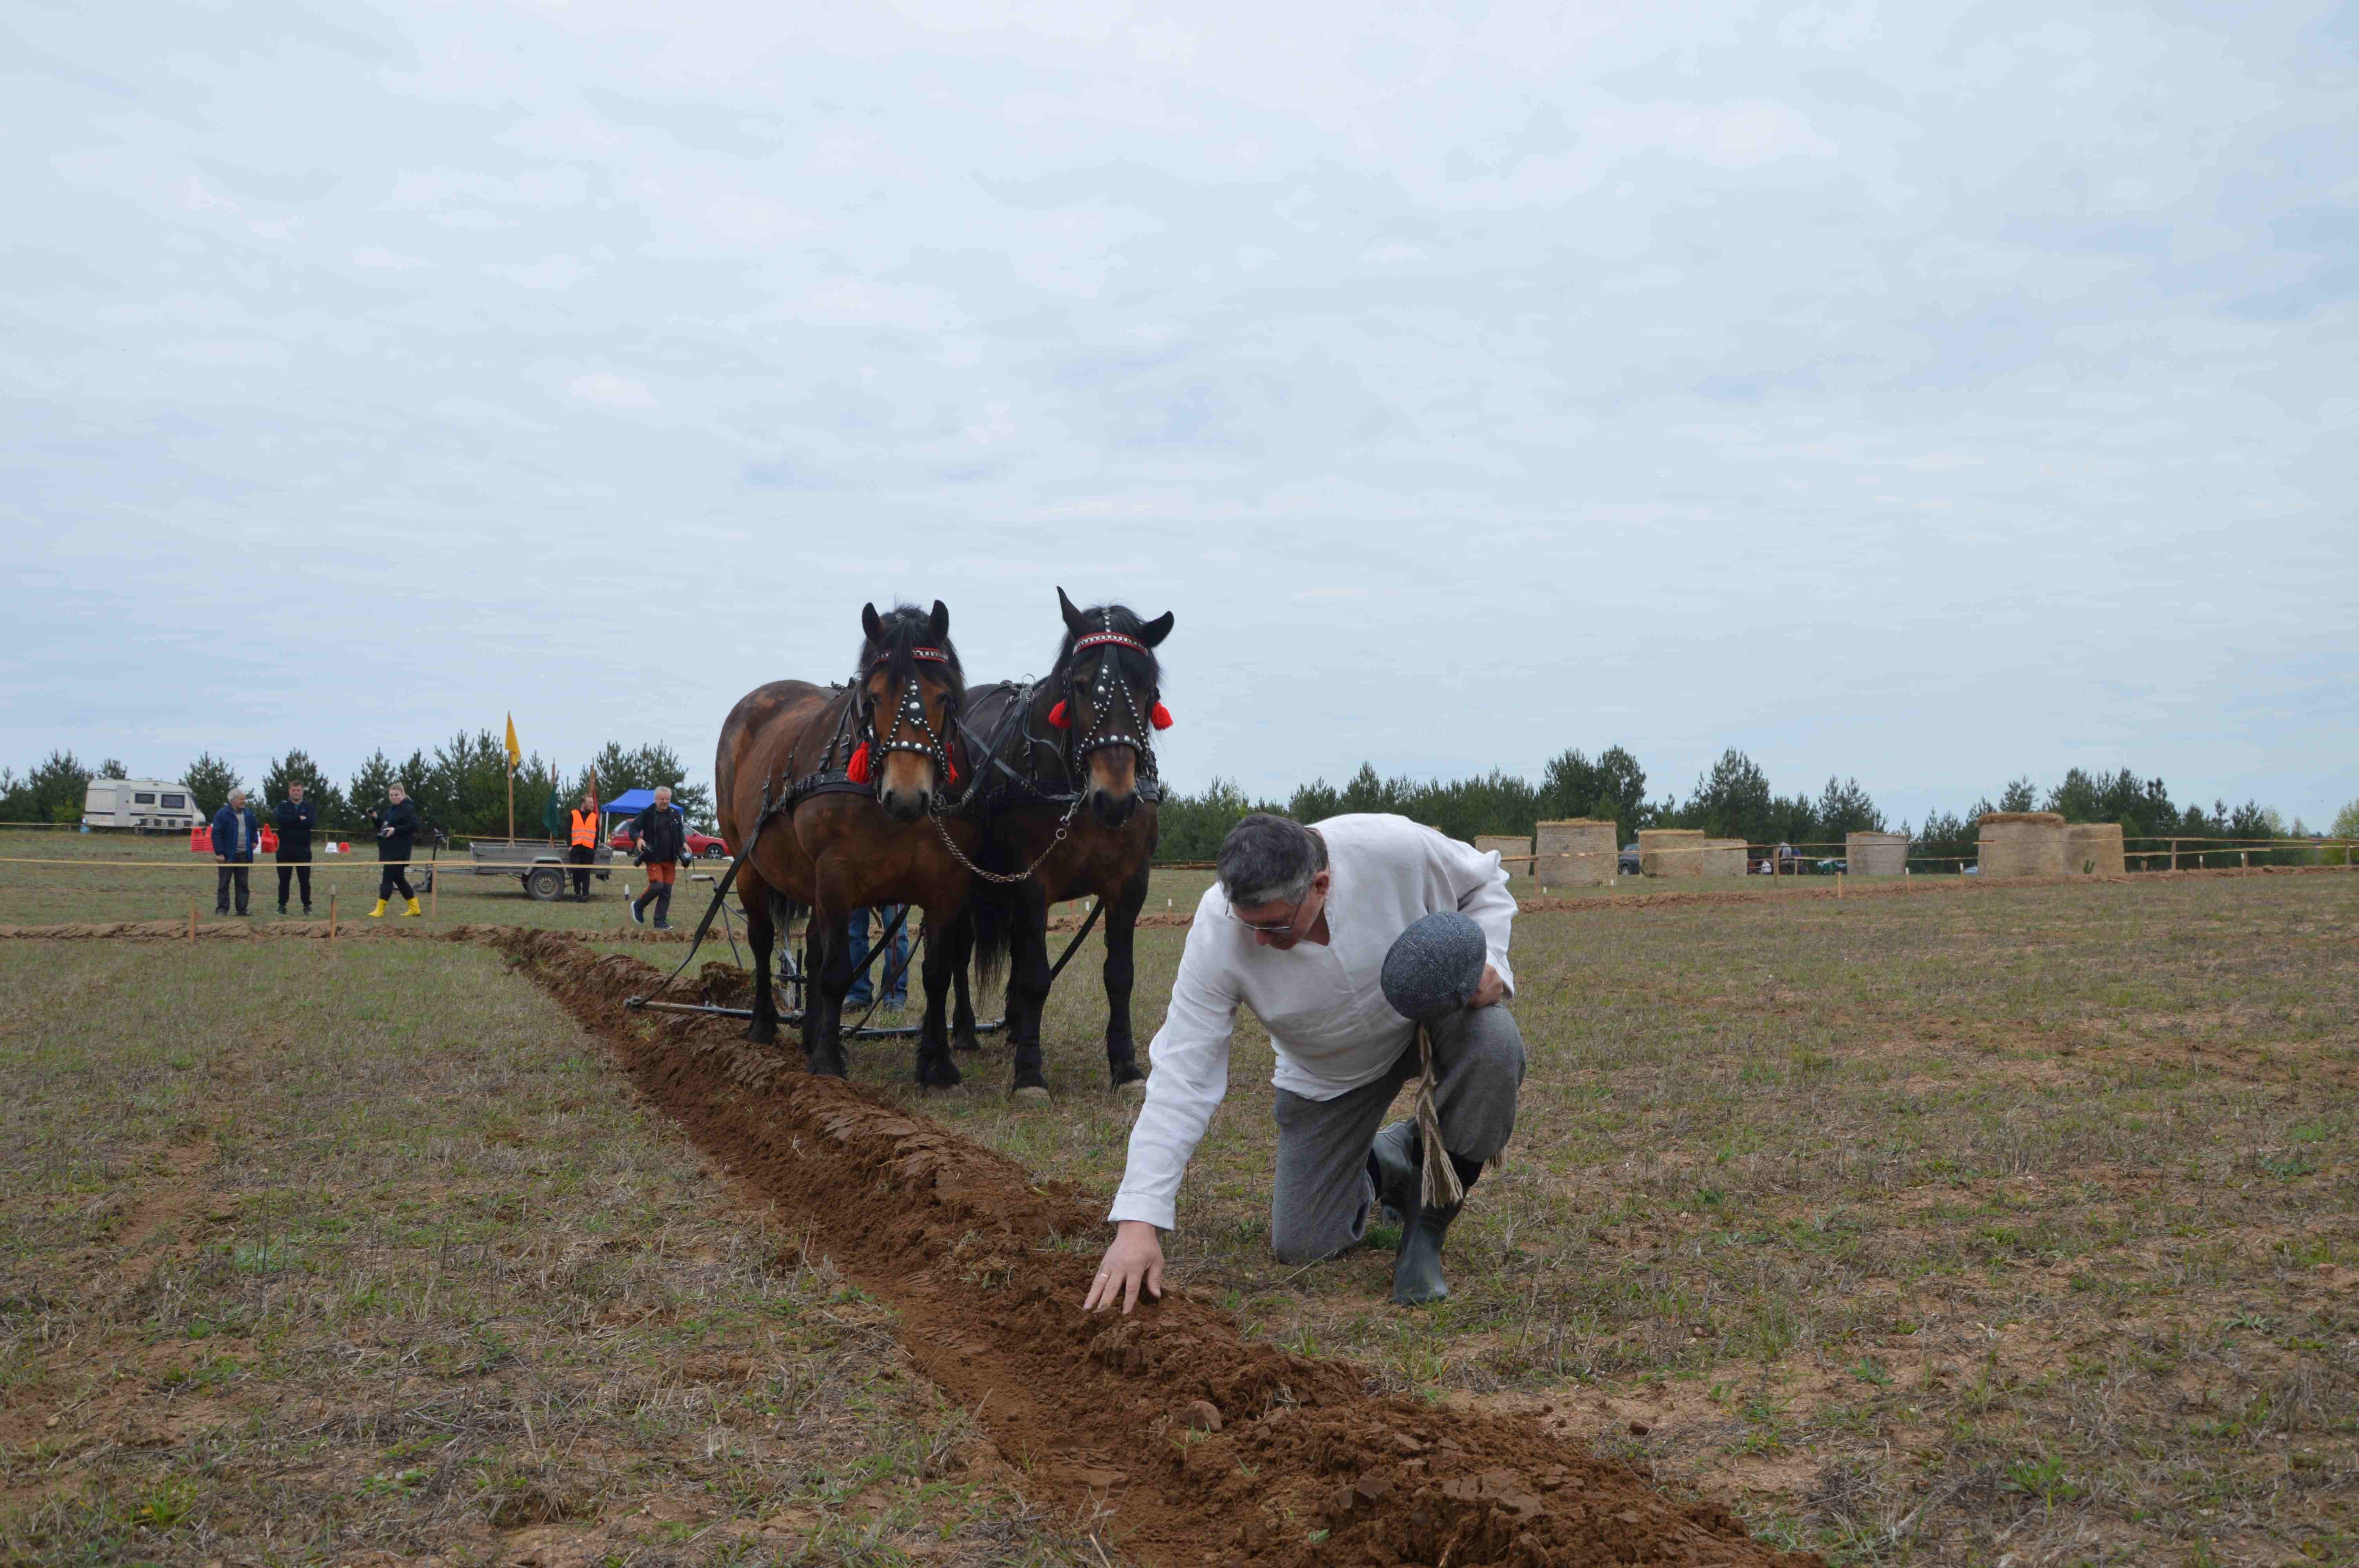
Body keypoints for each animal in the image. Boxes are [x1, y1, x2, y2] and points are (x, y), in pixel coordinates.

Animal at [712, 599, 981, 1089]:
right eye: (873, 698)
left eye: (944, 698)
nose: (907, 797)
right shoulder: (837, 876)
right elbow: (836, 971)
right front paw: (827, 1062)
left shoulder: (947, 885)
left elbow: (936, 974)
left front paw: (937, 1063)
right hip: (750, 863)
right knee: (762, 939)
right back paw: (764, 1025)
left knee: (814, 947)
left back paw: (812, 1034)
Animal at [953, 580, 1180, 1094]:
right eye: (1079, 685)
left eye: (1146, 689)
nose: (1115, 799)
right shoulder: (1031, 883)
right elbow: (1037, 977)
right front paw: (1030, 1074)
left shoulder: (1129, 885)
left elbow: (1119, 976)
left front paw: (1125, 1066)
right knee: (957, 951)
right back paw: (964, 1031)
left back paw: (1015, 1025)